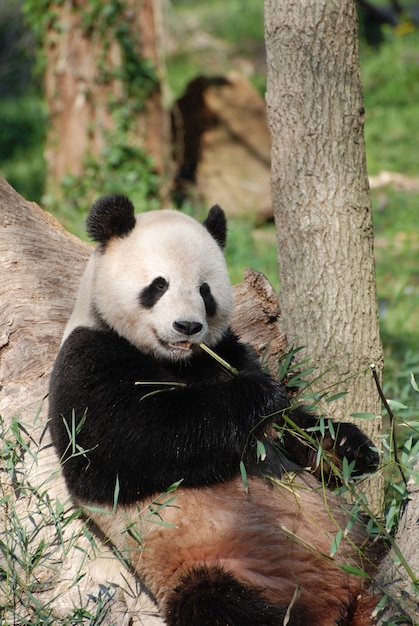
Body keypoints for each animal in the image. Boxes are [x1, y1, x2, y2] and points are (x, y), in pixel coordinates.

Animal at [48, 195, 380, 624]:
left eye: (205, 291)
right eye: (159, 285)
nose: (187, 326)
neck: (178, 362)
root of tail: (337, 599)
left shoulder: (226, 351)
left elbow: (293, 433)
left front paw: (349, 445)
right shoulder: (87, 361)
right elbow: (136, 440)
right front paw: (257, 394)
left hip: (355, 535)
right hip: (219, 565)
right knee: (217, 603)